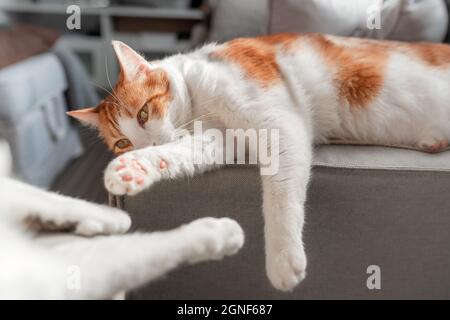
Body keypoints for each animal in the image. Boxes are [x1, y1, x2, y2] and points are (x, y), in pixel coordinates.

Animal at [68, 33, 450, 292]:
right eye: (122, 143)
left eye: (144, 113)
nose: (142, 144)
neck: (199, 102)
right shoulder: (223, 141)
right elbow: (178, 155)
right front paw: (134, 167)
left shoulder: (278, 123)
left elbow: (280, 193)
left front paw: (283, 258)